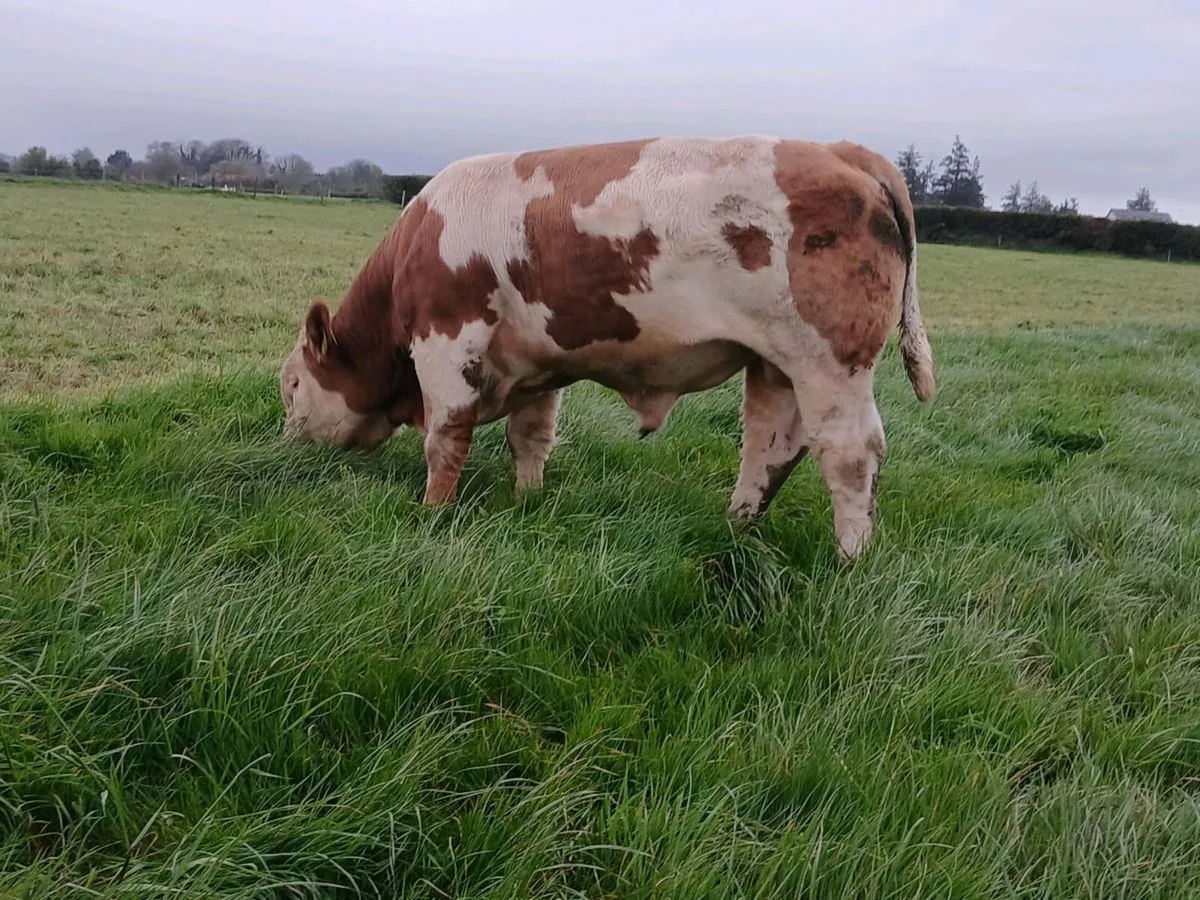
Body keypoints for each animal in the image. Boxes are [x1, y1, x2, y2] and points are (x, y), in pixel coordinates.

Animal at [279, 135, 935, 561]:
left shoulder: (447, 341)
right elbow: (530, 435)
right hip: (777, 363)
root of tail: (843, 150)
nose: (284, 447)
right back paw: (735, 528)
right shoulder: (536, 363)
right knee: (770, 445)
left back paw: (850, 559)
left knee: (851, 455)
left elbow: (446, 437)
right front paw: (527, 499)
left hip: (831, 362)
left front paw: (433, 513)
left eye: (291, 386)